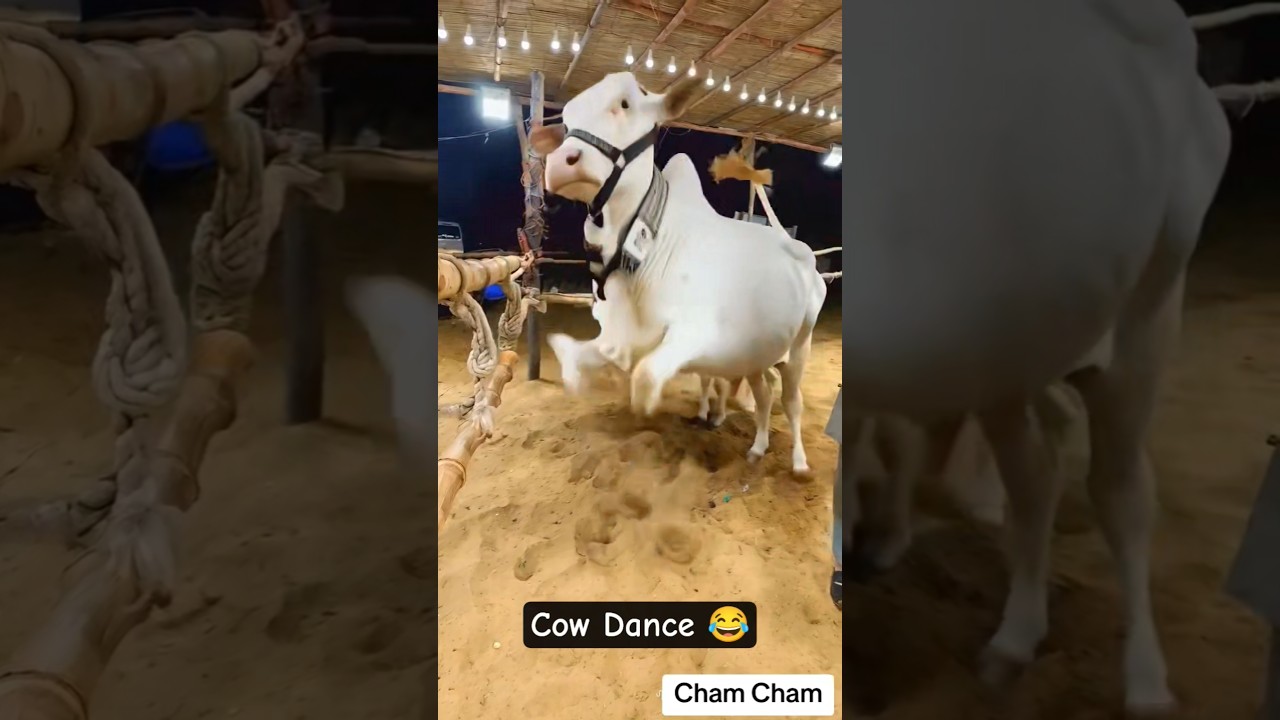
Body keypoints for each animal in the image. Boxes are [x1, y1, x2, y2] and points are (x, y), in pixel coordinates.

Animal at [533, 84, 827, 476]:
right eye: (565, 122)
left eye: (625, 104)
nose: (563, 161)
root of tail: (803, 253)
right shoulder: (622, 337)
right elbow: (578, 352)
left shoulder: (704, 335)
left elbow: (647, 377)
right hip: (759, 351)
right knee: (765, 395)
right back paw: (757, 447)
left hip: (799, 347)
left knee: (792, 402)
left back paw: (799, 462)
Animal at [838, 0, 1230, 713]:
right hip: (1004, 346)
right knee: (1035, 478)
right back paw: (1014, 637)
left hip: (1150, 311)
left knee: (1121, 493)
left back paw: (1146, 682)